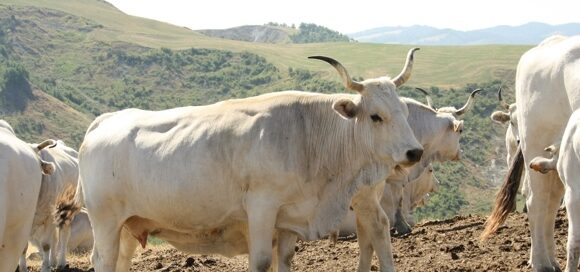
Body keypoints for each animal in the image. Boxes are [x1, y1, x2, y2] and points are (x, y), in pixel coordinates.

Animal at [56, 49, 424, 272]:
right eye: (375, 116)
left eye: (404, 112)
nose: (415, 152)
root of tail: (106, 120)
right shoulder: (261, 207)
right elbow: (260, 260)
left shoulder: (288, 217)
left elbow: (284, 260)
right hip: (105, 220)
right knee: (103, 260)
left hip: (129, 225)